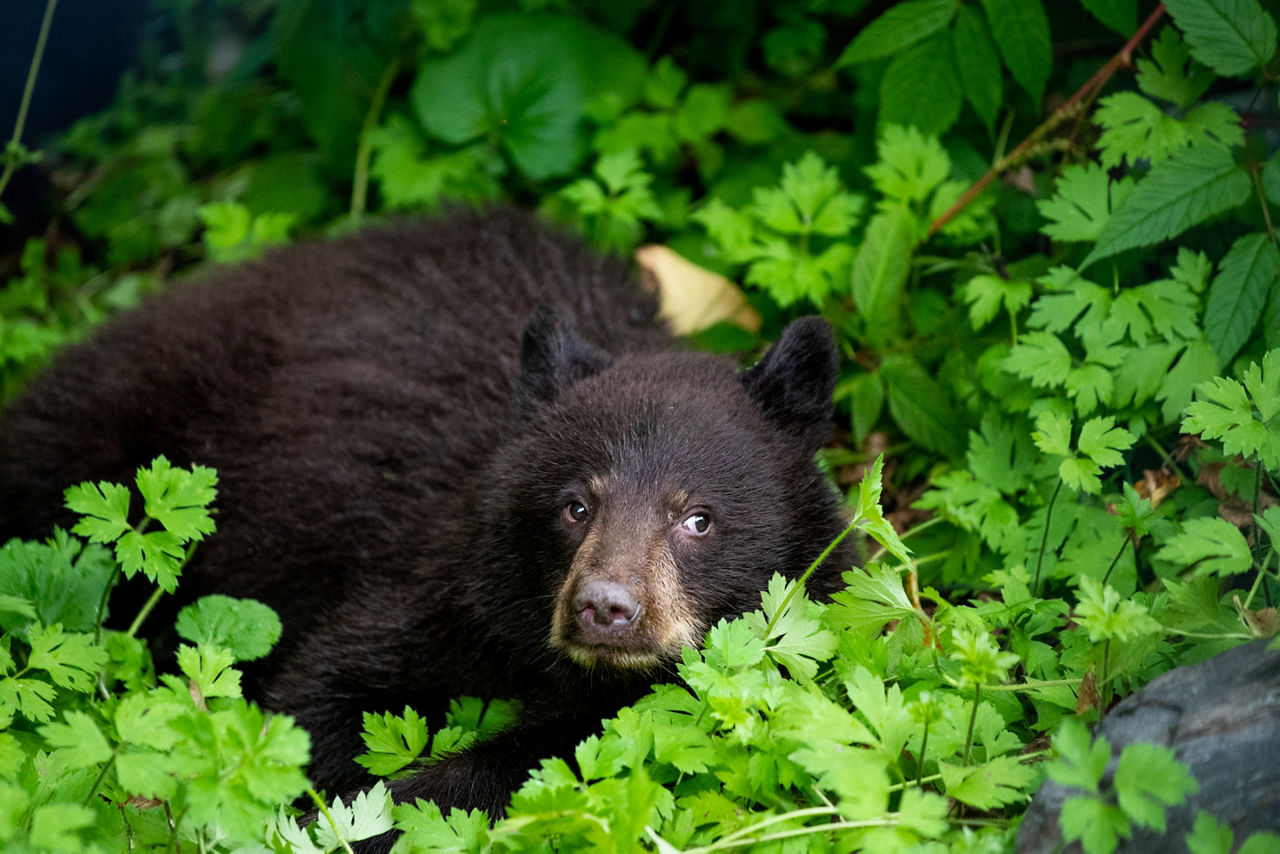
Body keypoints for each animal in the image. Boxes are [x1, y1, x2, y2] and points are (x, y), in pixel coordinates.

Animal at [0, 208, 855, 826]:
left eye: (698, 518)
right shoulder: (448, 579)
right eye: (574, 505)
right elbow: (328, 689)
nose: (605, 609)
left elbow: (558, 756)